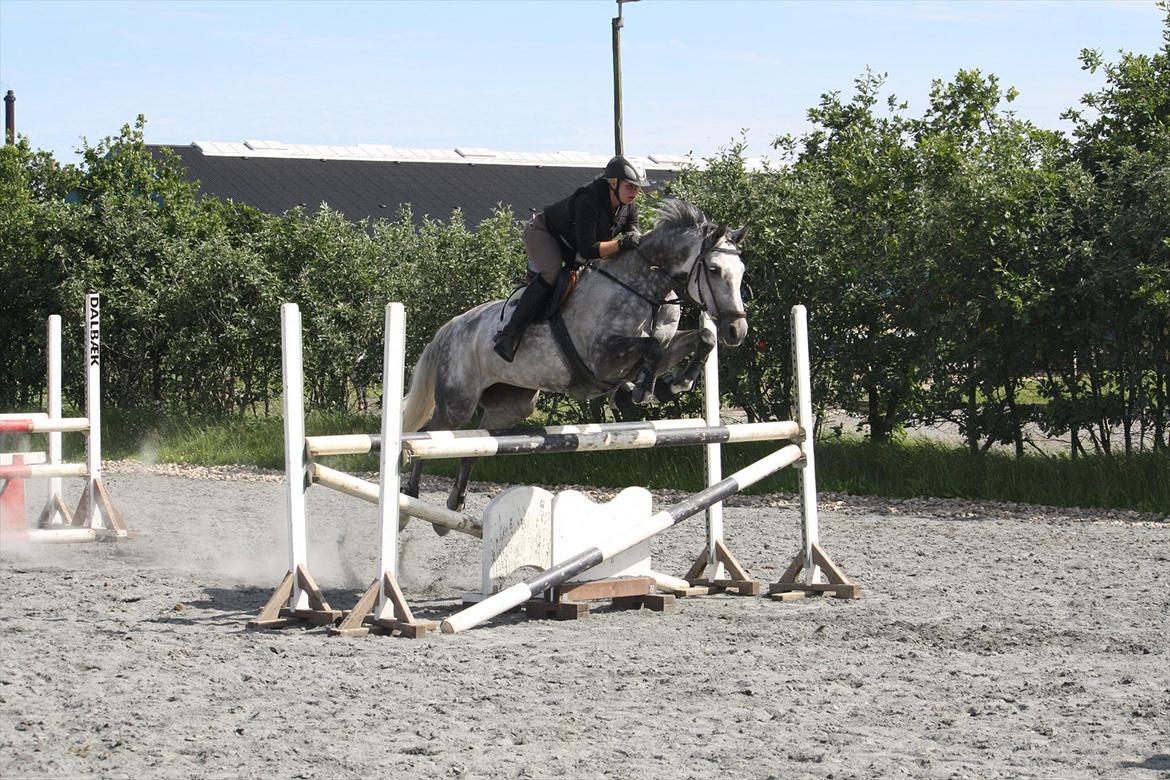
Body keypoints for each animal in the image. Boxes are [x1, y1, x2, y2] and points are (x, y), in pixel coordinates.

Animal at [402, 199, 748, 523]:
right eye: (714, 269)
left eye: (741, 271)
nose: (737, 330)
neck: (647, 289)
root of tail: (449, 329)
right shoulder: (603, 358)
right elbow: (651, 348)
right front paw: (643, 391)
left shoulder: (655, 346)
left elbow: (699, 339)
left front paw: (670, 385)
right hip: (457, 402)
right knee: (431, 435)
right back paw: (410, 501)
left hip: (512, 405)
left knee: (476, 445)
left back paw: (453, 506)